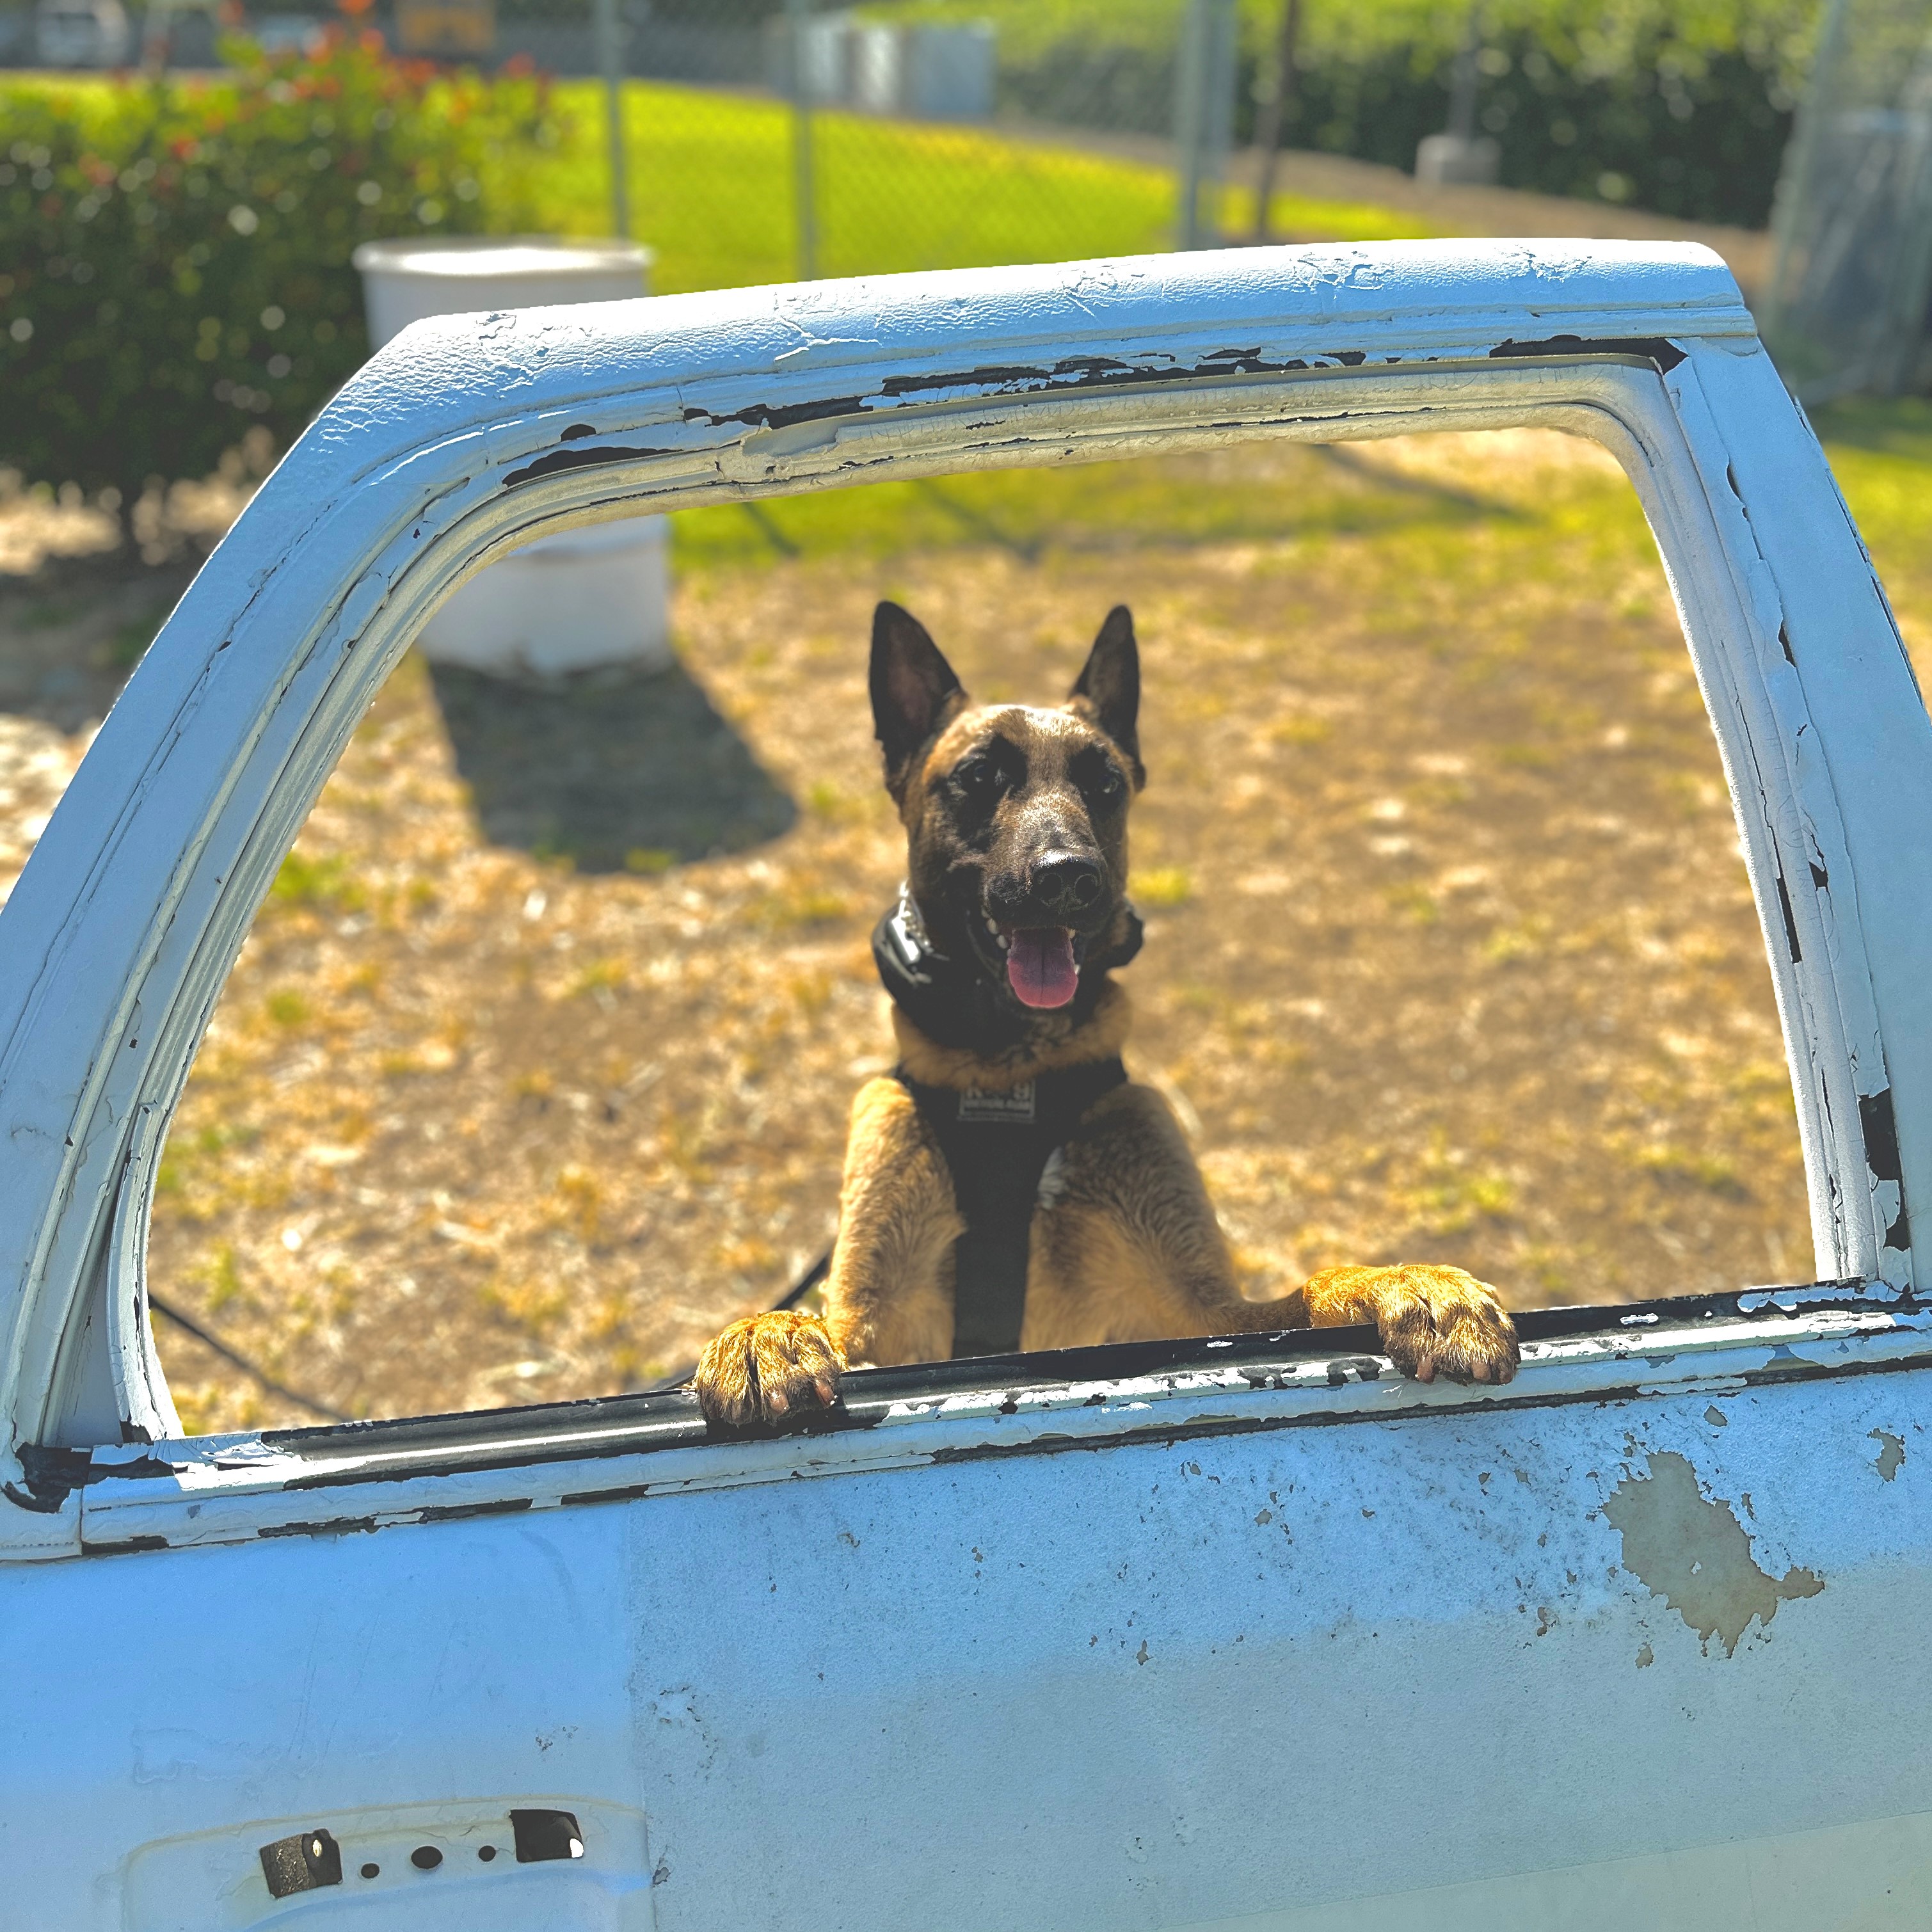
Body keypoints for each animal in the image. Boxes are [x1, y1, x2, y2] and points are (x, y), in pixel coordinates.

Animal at [695, 595, 1522, 1430]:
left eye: (1105, 785)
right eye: (979, 775)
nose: (1069, 879)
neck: (1014, 1073)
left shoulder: (1206, 1316)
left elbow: (1317, 1282)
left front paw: (1410, 1281)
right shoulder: (876, 1325)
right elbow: (818, 1323)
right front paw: (760, 1332)